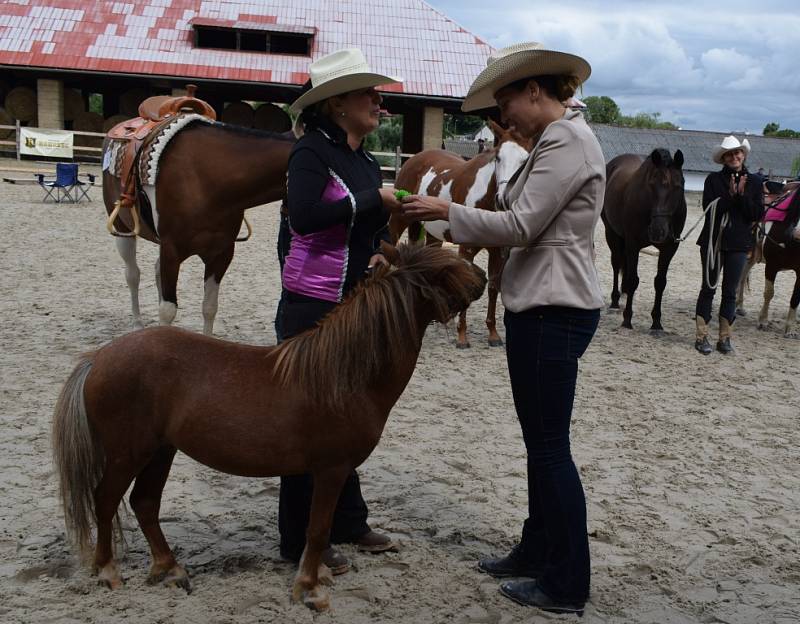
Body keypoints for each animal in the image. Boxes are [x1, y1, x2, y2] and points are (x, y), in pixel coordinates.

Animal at [54, 243, 488, 608]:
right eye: (447, 269)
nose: (483, 276)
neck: (344, 377)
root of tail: (98, 357)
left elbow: (316, 529)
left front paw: (319, 575)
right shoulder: (332, 469)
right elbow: (318, 529)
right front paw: (309, 589)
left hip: (160, 451)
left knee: (144, 503)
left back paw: (171, 569)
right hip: (129, 454)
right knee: (105, 501)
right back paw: (108, 571)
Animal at [103, 122, 296, 336]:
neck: (205, 180)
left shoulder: (221, 254)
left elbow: (210, 307)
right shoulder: (171, 251)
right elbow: (167, 310)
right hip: (123, 230)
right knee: (133, 276)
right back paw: (137, 324)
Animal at [388, 119, 532, 348]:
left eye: (525, 160)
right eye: (498, 157)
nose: (503, 200)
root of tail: (414, 160)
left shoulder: (497, 252)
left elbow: (493, 287)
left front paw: (493, 334)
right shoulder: (467, 250)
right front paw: (462, 337)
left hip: (433, 235)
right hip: (398, 222)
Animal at [600, 149, 688, 332]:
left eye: (679, 186)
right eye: (651, 184)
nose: (658, 231)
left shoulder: (669, 249)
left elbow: (660, 282)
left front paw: (656, 322)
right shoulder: (633, 243)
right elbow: (634, 279)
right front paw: (627, 319)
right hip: (612, 234)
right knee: (616, 263)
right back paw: (615, 300)